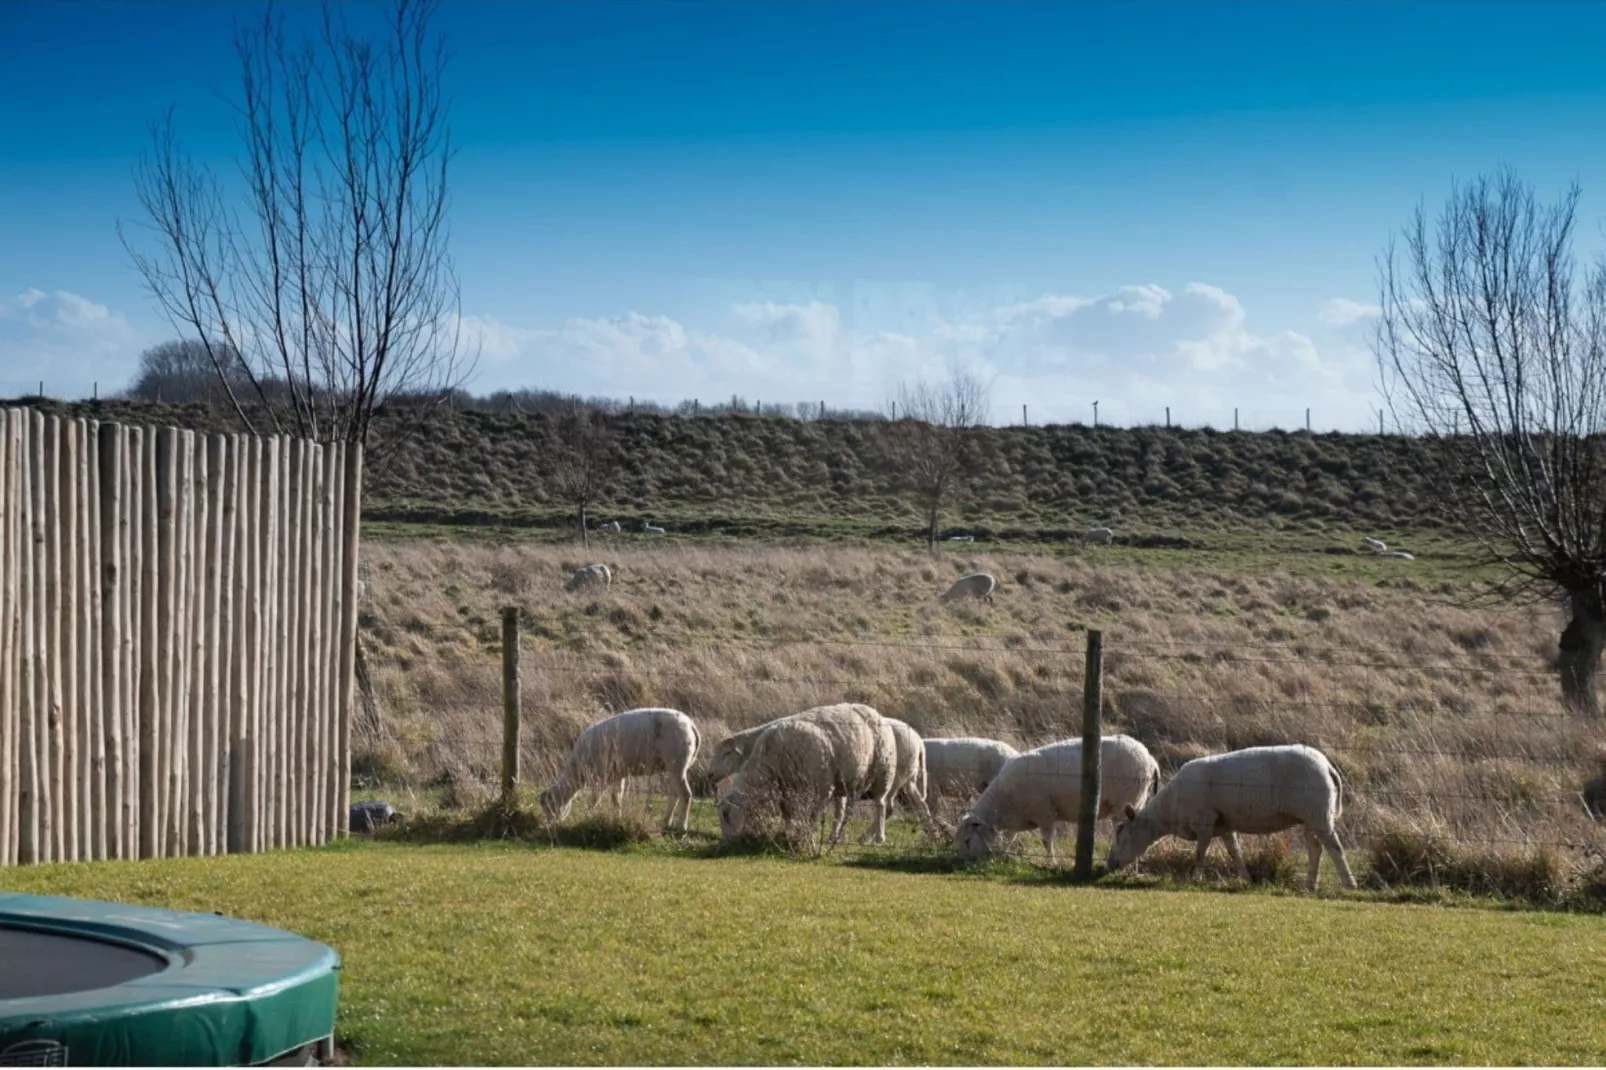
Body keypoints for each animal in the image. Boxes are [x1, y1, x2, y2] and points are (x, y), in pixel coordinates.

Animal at [539, 703, 703, 829]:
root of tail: (690, 725)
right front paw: (617, 818)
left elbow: (595, 799)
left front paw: (588, 815)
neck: (577, 770)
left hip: (677, 762)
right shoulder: (618, 773)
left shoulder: (601, 776)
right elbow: (616, 798)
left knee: (686, 794)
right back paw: (665, 822)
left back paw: (682, 827)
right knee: (674, 794)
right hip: (673, 765)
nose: (548, 824)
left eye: (549, 806)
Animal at [719, 700, 899, 841]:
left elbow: (811, 816)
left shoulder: (821, 788)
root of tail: (874, 711)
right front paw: (790, 833)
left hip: (883, 772)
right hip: (849, 782)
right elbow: (788, 816)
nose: (728, 843)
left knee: (880, 804)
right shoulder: (786, 793)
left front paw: (806, 836)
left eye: (726, 815)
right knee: (844, 811)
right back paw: (835, 837)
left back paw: (878, 838)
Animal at [957, 732, 1162, 861]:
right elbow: (1009, 838)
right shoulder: (1016, 819)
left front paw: (1051, 863)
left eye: (967, 841)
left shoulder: (1044, 814)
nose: (962, 862)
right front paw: (1003, 855)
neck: (1001, 803)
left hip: (1126, 800)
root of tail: (1150, 758)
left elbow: (1047, 841)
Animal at [1104, 739, 1355, 886]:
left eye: (1120, 833)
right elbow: (1234, 851)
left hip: (1318, 812)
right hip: (1309, 817)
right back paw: (1310, 884)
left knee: (1335, 848)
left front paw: (1196, 879)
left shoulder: (1204, 822)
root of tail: (1327, 766)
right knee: (1316, 849)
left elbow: (1200, 853)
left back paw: (1348, 883)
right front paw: (1245, 879)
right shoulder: (1224, 824)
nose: (1109, 864)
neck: (1169, 811)